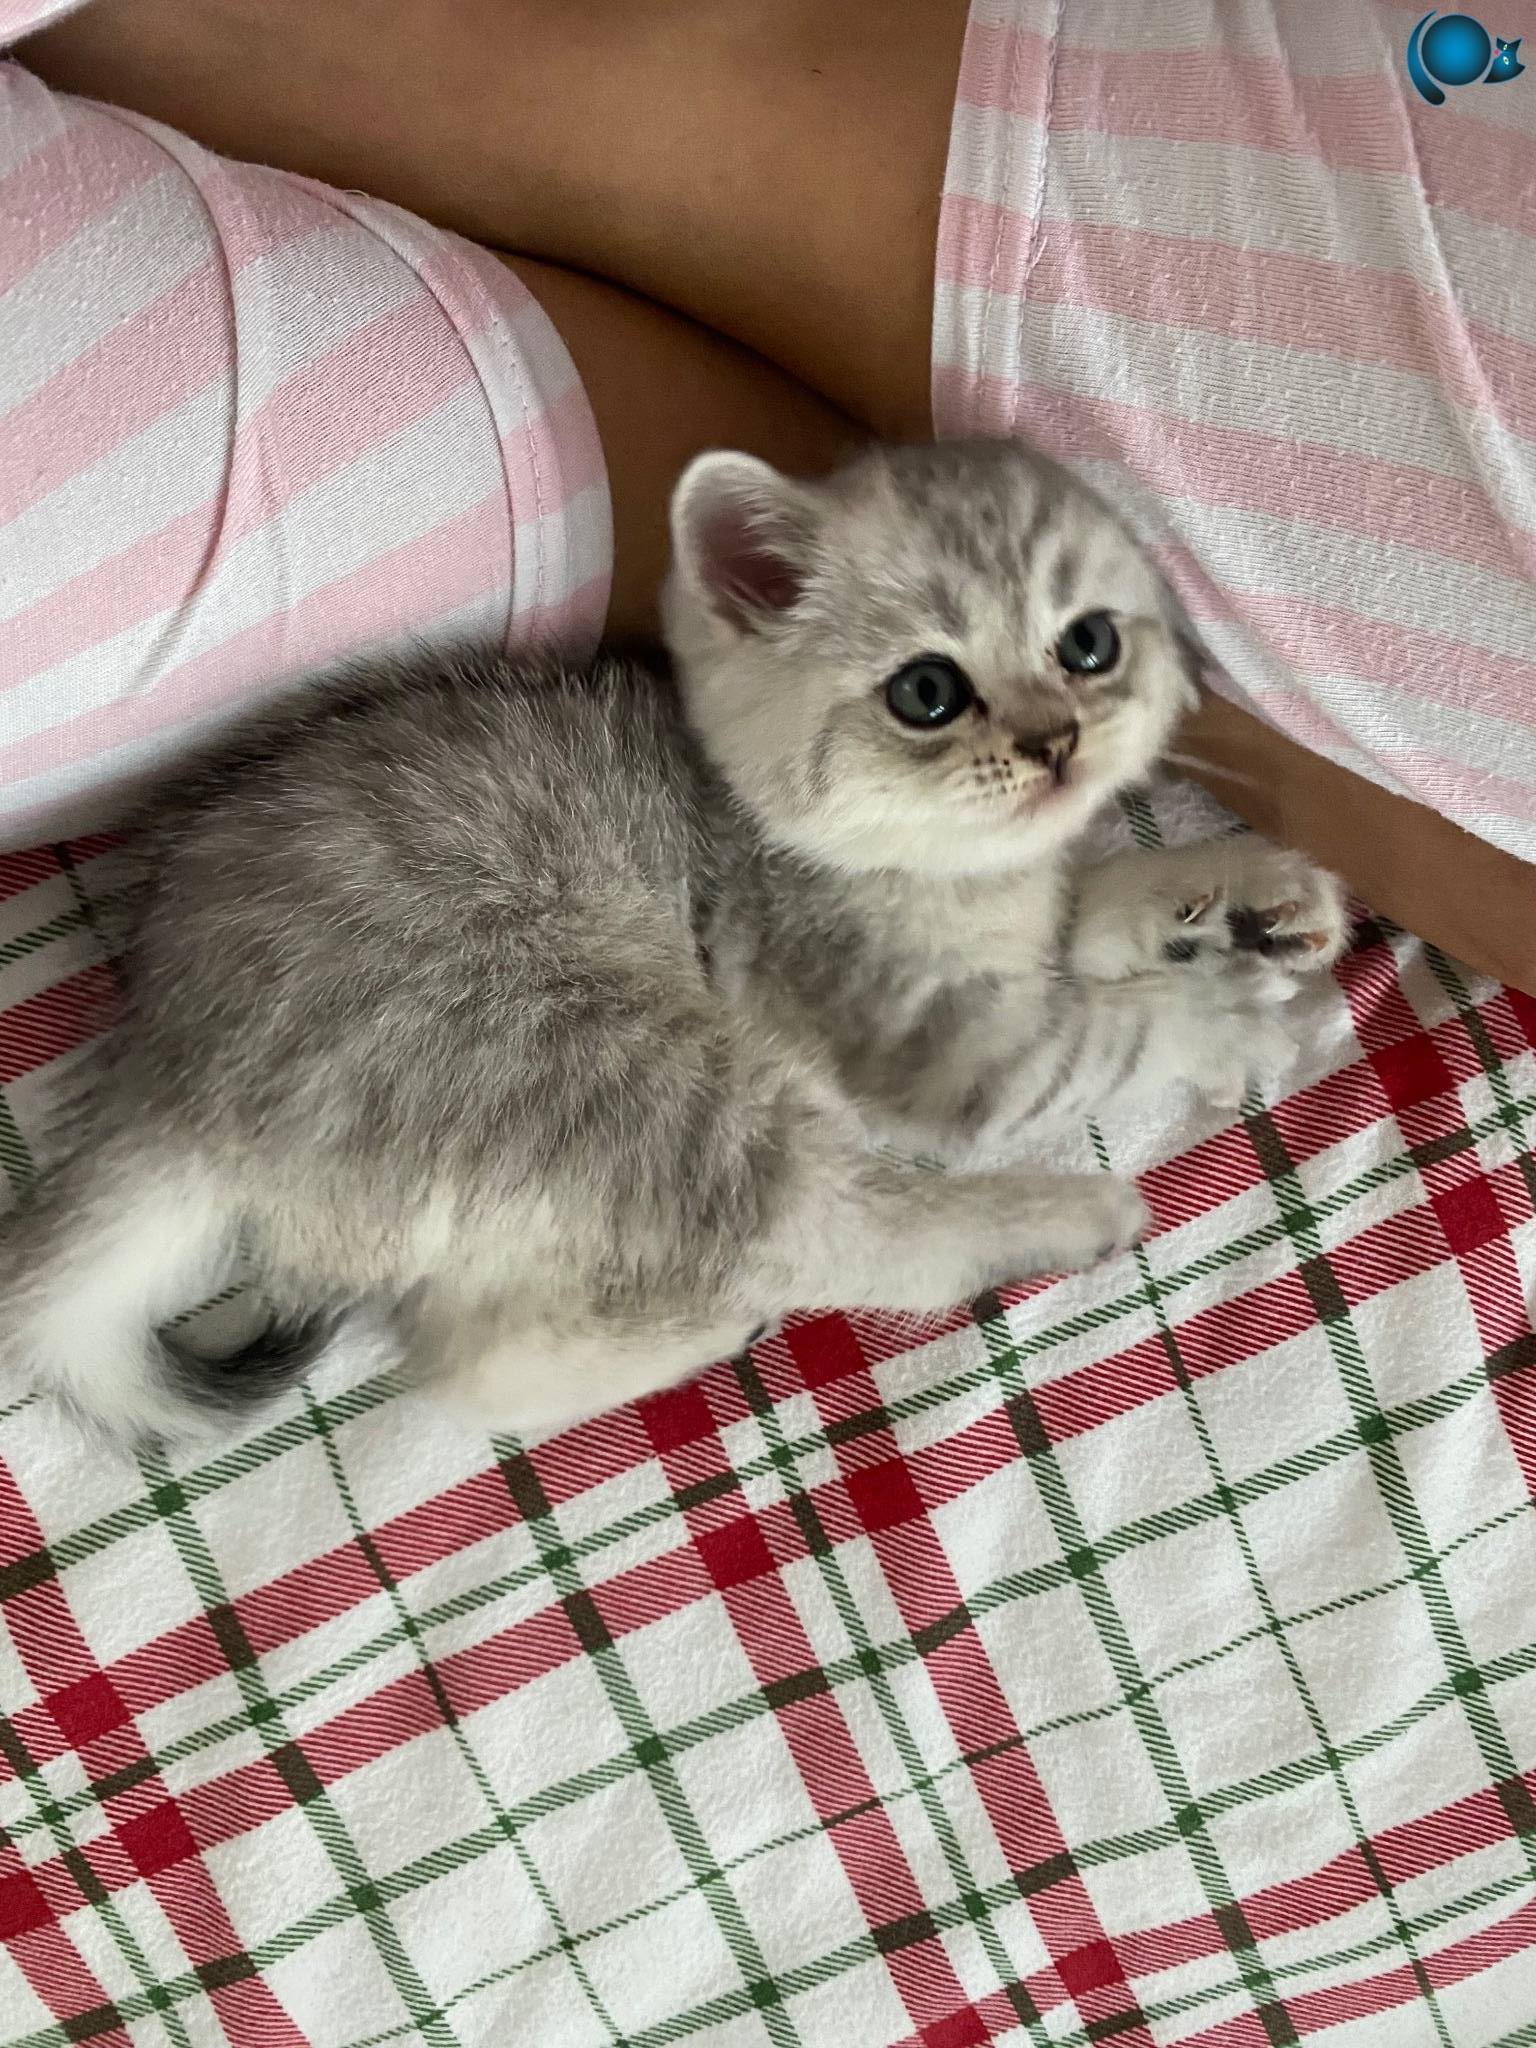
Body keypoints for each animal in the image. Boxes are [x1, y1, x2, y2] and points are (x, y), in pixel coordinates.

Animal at [0, 439, 1346, 1446]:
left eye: (1088, 643)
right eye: (927, 691)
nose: (1056, 741)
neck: (931, 872)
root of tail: (173, 1075)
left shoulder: (1016, 918)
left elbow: (1092, 904)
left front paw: (1242, 895)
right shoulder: (935, 1041)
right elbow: (1101, 1034)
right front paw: (1234, 1017)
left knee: (472, 1359)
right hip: (593, 1053)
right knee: (817, 1228)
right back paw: (1050, 1218)